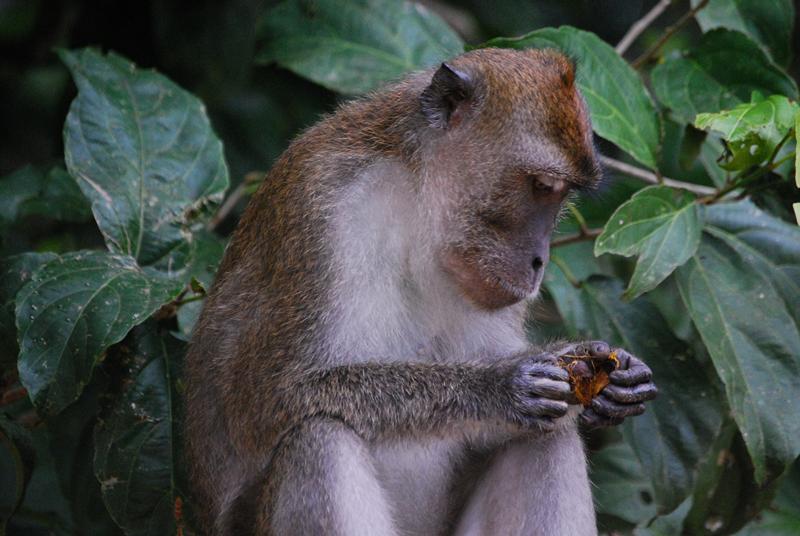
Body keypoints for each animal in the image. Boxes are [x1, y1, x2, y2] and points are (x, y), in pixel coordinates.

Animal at [186, 47, 656, 536]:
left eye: (562, 195)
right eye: (542, 186)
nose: (538, 261)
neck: (416, 201)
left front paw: (615, 377)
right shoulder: (320, 207)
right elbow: (269, 400)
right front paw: (497, 386)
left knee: (549, 433)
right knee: (319, 438)